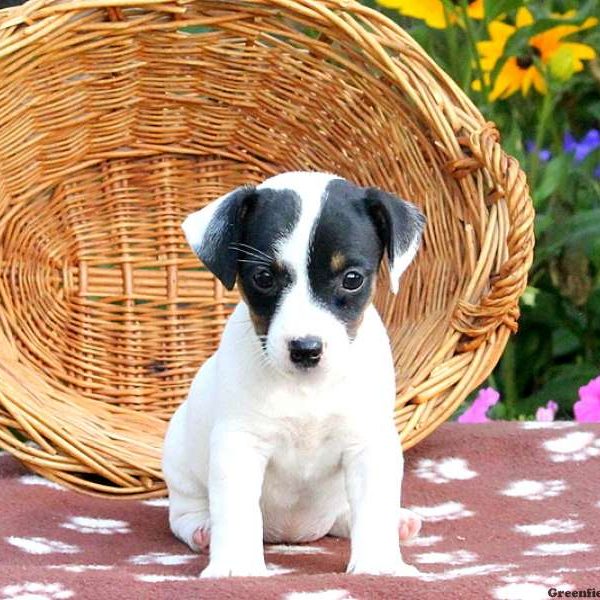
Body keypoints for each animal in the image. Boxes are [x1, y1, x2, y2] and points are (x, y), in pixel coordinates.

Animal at [163, 170, 426, 576]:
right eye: (263, 277)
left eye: (352, 278)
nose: (306, 349)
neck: (307, 389)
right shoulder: (239, 446)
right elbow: (236, 511)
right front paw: (237, 565)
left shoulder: (369, 445)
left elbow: (373, 509)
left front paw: (380, 563)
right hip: (179, 462)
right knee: (184, 511)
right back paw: (202, 529)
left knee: (346, 515)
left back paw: (399, 522)